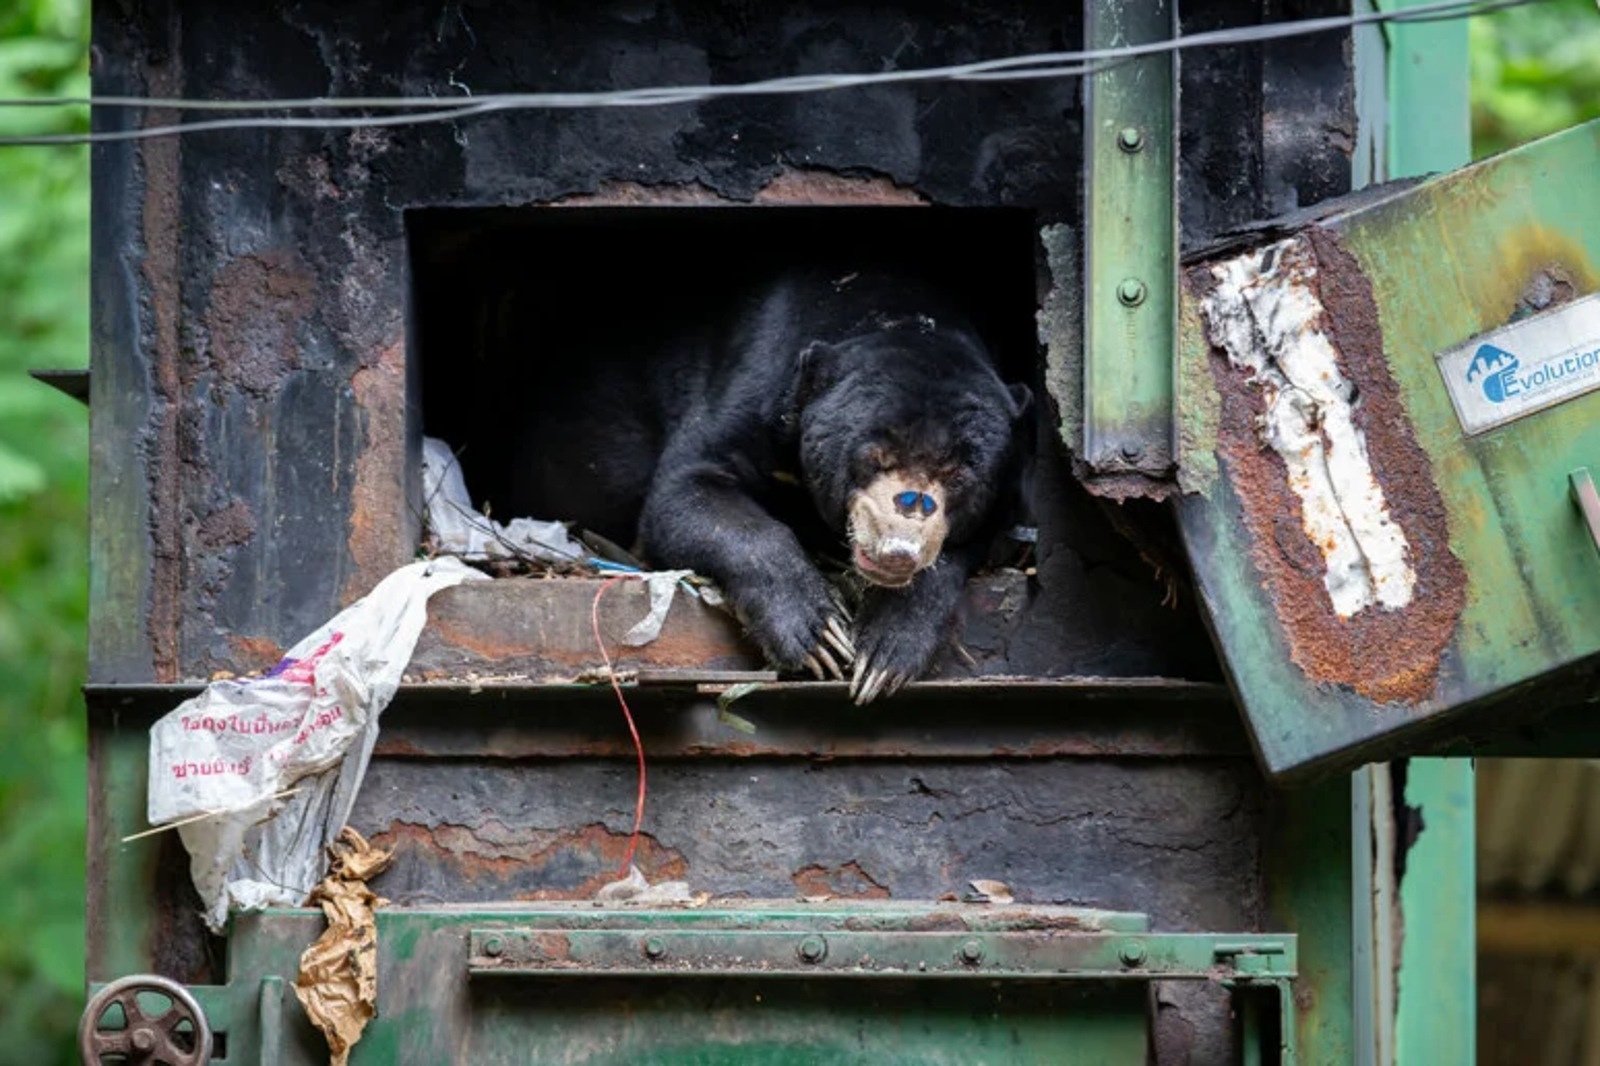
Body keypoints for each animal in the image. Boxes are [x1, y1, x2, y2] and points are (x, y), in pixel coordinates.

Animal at [511, 266, 1032, 703]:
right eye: (873, 458)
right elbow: (687, 488)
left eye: (957, 476)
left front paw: (885, 653)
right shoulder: (757, 383)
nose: (898, 551)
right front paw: (818, 635)